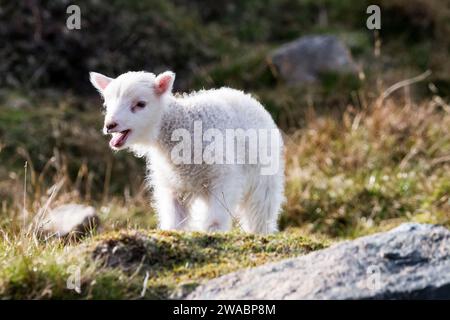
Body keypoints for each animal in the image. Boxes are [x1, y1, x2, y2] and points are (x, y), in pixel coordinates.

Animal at [89, 71, 284, 234]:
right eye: (107, 104)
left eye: (140, 104)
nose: (110, 125)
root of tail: (245, 96)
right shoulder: (172, 186)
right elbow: (174, 220)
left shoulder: (223, 177)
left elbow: (215, 218)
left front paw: (213, 233)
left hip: (265, 179)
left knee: (261, 212)